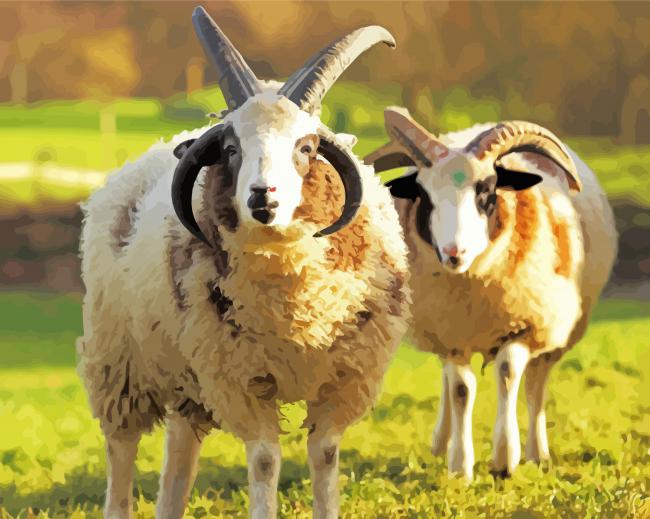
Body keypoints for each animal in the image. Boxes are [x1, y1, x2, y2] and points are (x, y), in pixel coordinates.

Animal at [76, 8, 409, 519]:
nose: (261, 197)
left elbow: (325, 454)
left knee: (180, 452)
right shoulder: (242, 379)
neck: (294, 308)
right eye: (232, 149)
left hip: (188, 370)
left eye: (306, 148)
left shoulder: (343, 379)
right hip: (120, 358)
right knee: (121, 447)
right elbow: (266, 461)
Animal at [365, 106, 617, 479]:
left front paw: (504, 459)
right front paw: (460, 465)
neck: (474, 286)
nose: (453, 254)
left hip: (558, 328)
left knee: (536, 385)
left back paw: (537, 453)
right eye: (424, 195)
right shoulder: (452, 333)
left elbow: (508, 374)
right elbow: (460, 390)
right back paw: (441, 443)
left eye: (486, 190)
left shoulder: (525, 324)